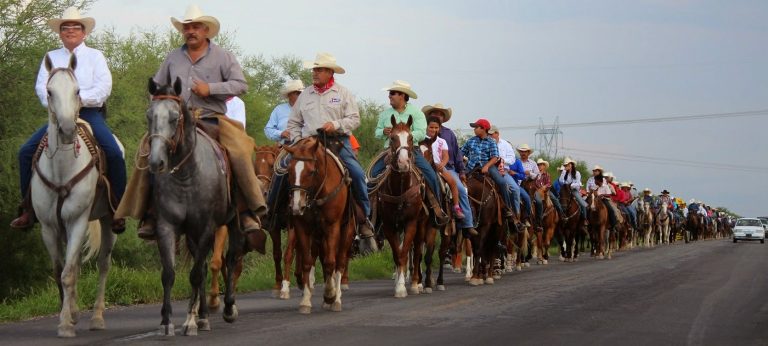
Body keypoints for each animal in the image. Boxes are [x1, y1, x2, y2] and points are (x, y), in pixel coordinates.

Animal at [31, 54, 117, 338]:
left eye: (78, 91)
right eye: (49, 92)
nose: (68, 130)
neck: (61, 170)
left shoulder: (78, 221)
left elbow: (68, 273)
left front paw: (66, 325)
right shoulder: (49, 227)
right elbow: (61, 271)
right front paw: (67, 316)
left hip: (108, 221)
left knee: (103, 265)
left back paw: (97, 318)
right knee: (77, 264)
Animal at [144, 77, 240, 336]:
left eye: (174, 117)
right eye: (149, 116)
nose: (156, 162)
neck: (186, 176)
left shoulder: (206, 228)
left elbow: (196, 274)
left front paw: (190, 322)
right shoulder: (167, 227)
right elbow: (169, 274)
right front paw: (167, 321)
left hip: (233, 222)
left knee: (231, 259)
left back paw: (227, 308)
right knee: (205, 266)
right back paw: (203, 315)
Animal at [282, 135, 354, 314]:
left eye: (311, 171)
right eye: (289, 172)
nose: (297, 206)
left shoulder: (332, 226)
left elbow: (330, 262)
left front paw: (330, 294)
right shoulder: (301, 227)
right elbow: (308, 262)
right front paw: (306, 301)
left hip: (347, 231)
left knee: (339, 262)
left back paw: (336, 299)